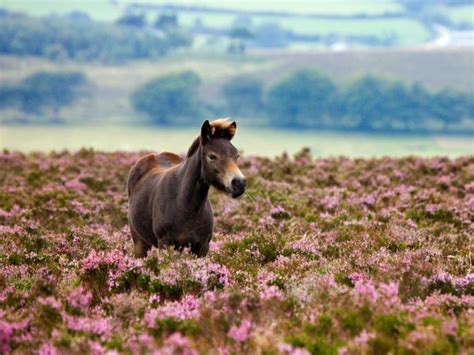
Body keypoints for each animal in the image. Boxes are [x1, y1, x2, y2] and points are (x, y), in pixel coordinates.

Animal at [127, 118, 244, 258]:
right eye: (212, 156)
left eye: (236, 155)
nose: (239, 183)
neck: (186, 207)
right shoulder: (165, 244)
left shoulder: (202, 247)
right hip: (140, 243)